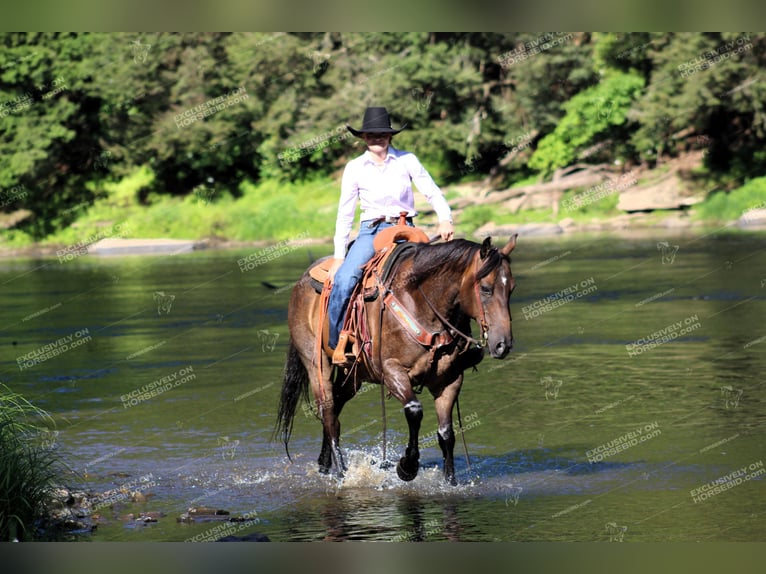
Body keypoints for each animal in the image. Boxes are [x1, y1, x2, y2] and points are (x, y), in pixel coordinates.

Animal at [272, 234, 520, 486]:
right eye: (486, 289)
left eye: (511, 288)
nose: (503, 344)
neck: (421, 303)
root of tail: (303, 279)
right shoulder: (392, 371)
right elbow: (414, 410)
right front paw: (407, 467)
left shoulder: (449, 380)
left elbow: (446, 434)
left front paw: (450, 481)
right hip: (316, 364)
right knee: (329, 413)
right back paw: (342, 473)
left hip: (354, 374)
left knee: (336, 405)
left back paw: (324, 465)